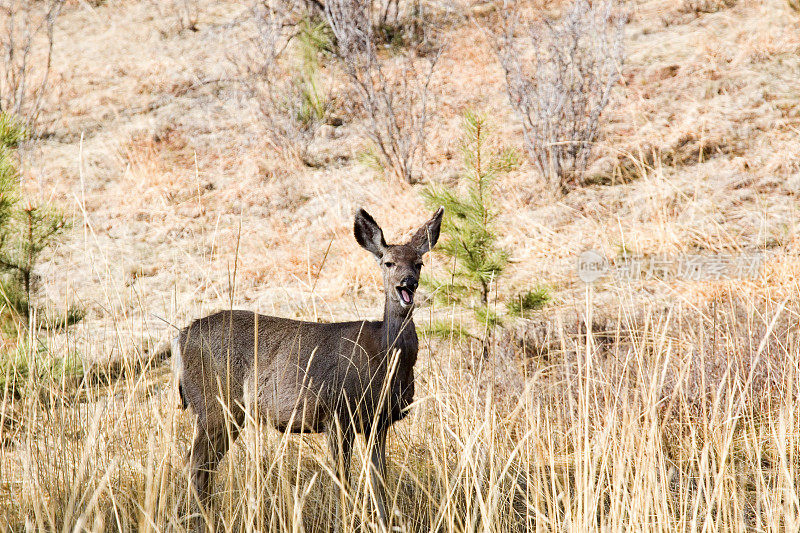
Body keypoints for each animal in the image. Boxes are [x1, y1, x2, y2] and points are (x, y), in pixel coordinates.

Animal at [170, 207, 444, 528]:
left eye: (419, 263)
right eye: (388, 262)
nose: (407, 282)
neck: (384, 356)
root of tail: (181, 337)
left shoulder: (379, 421)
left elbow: (379, 481)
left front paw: (385, 522)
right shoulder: (338, 413)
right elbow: (343, 479)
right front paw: (344, 522)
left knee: (202, 465)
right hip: (214, 402)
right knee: (195, 463)